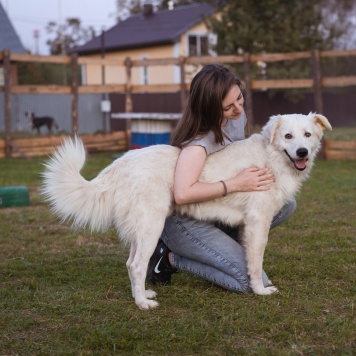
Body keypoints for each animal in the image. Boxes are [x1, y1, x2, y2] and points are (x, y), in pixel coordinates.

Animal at [43, 113, 332, 308]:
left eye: (307, 135)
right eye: (288, 136)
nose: (302, 152)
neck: (271, 158)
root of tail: (124, 161)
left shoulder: (249, 224)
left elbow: (249, 257)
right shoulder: (258, 221)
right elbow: (255, 262)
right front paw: (260, 291)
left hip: (140, 229)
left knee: (130, 263)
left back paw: (142, 294)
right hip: (151, 226)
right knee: (136, 265)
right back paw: (143, 304)